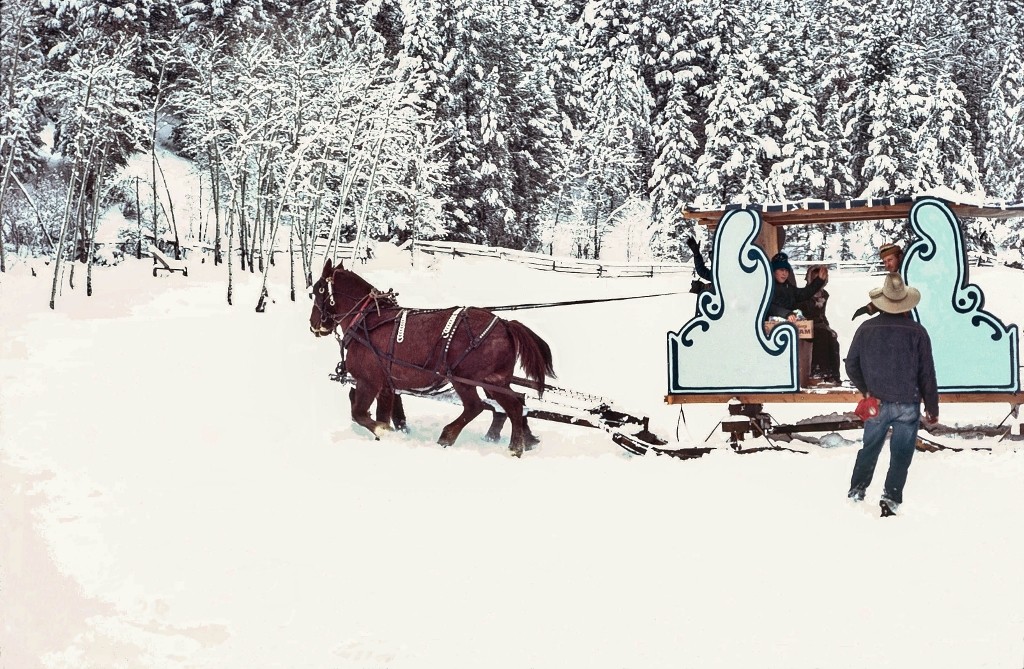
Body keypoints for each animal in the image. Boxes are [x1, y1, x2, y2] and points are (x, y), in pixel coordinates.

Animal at [307, 258, 557, 456]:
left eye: (318, 291)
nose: (313, 324)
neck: (366, 320)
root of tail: (504, 324)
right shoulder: (387, 385)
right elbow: (385, 413)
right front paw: (391, 432)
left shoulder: (368, 382)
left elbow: (359, 413)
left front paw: (383, 431)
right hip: (495, 380)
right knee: (512, 405)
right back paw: (517, 442)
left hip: (466, 379)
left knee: (479, 406)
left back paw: (454, 436)